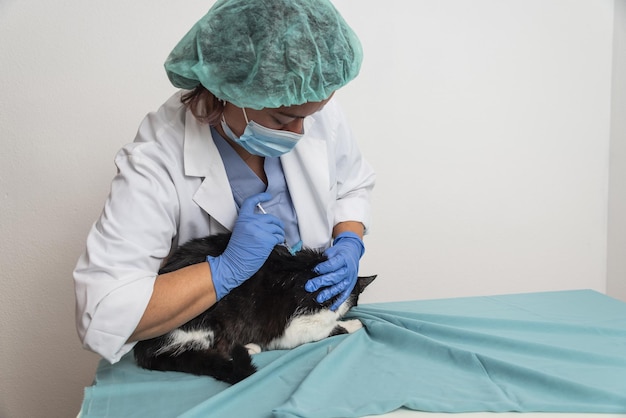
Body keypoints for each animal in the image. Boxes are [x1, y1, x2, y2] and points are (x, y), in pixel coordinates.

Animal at [133, 233, 372, 384]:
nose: (336, 310)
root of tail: (144, 347)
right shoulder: (293, 325)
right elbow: (328, 328)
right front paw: (353, 324)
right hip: (203, 318)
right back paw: (247, 348)